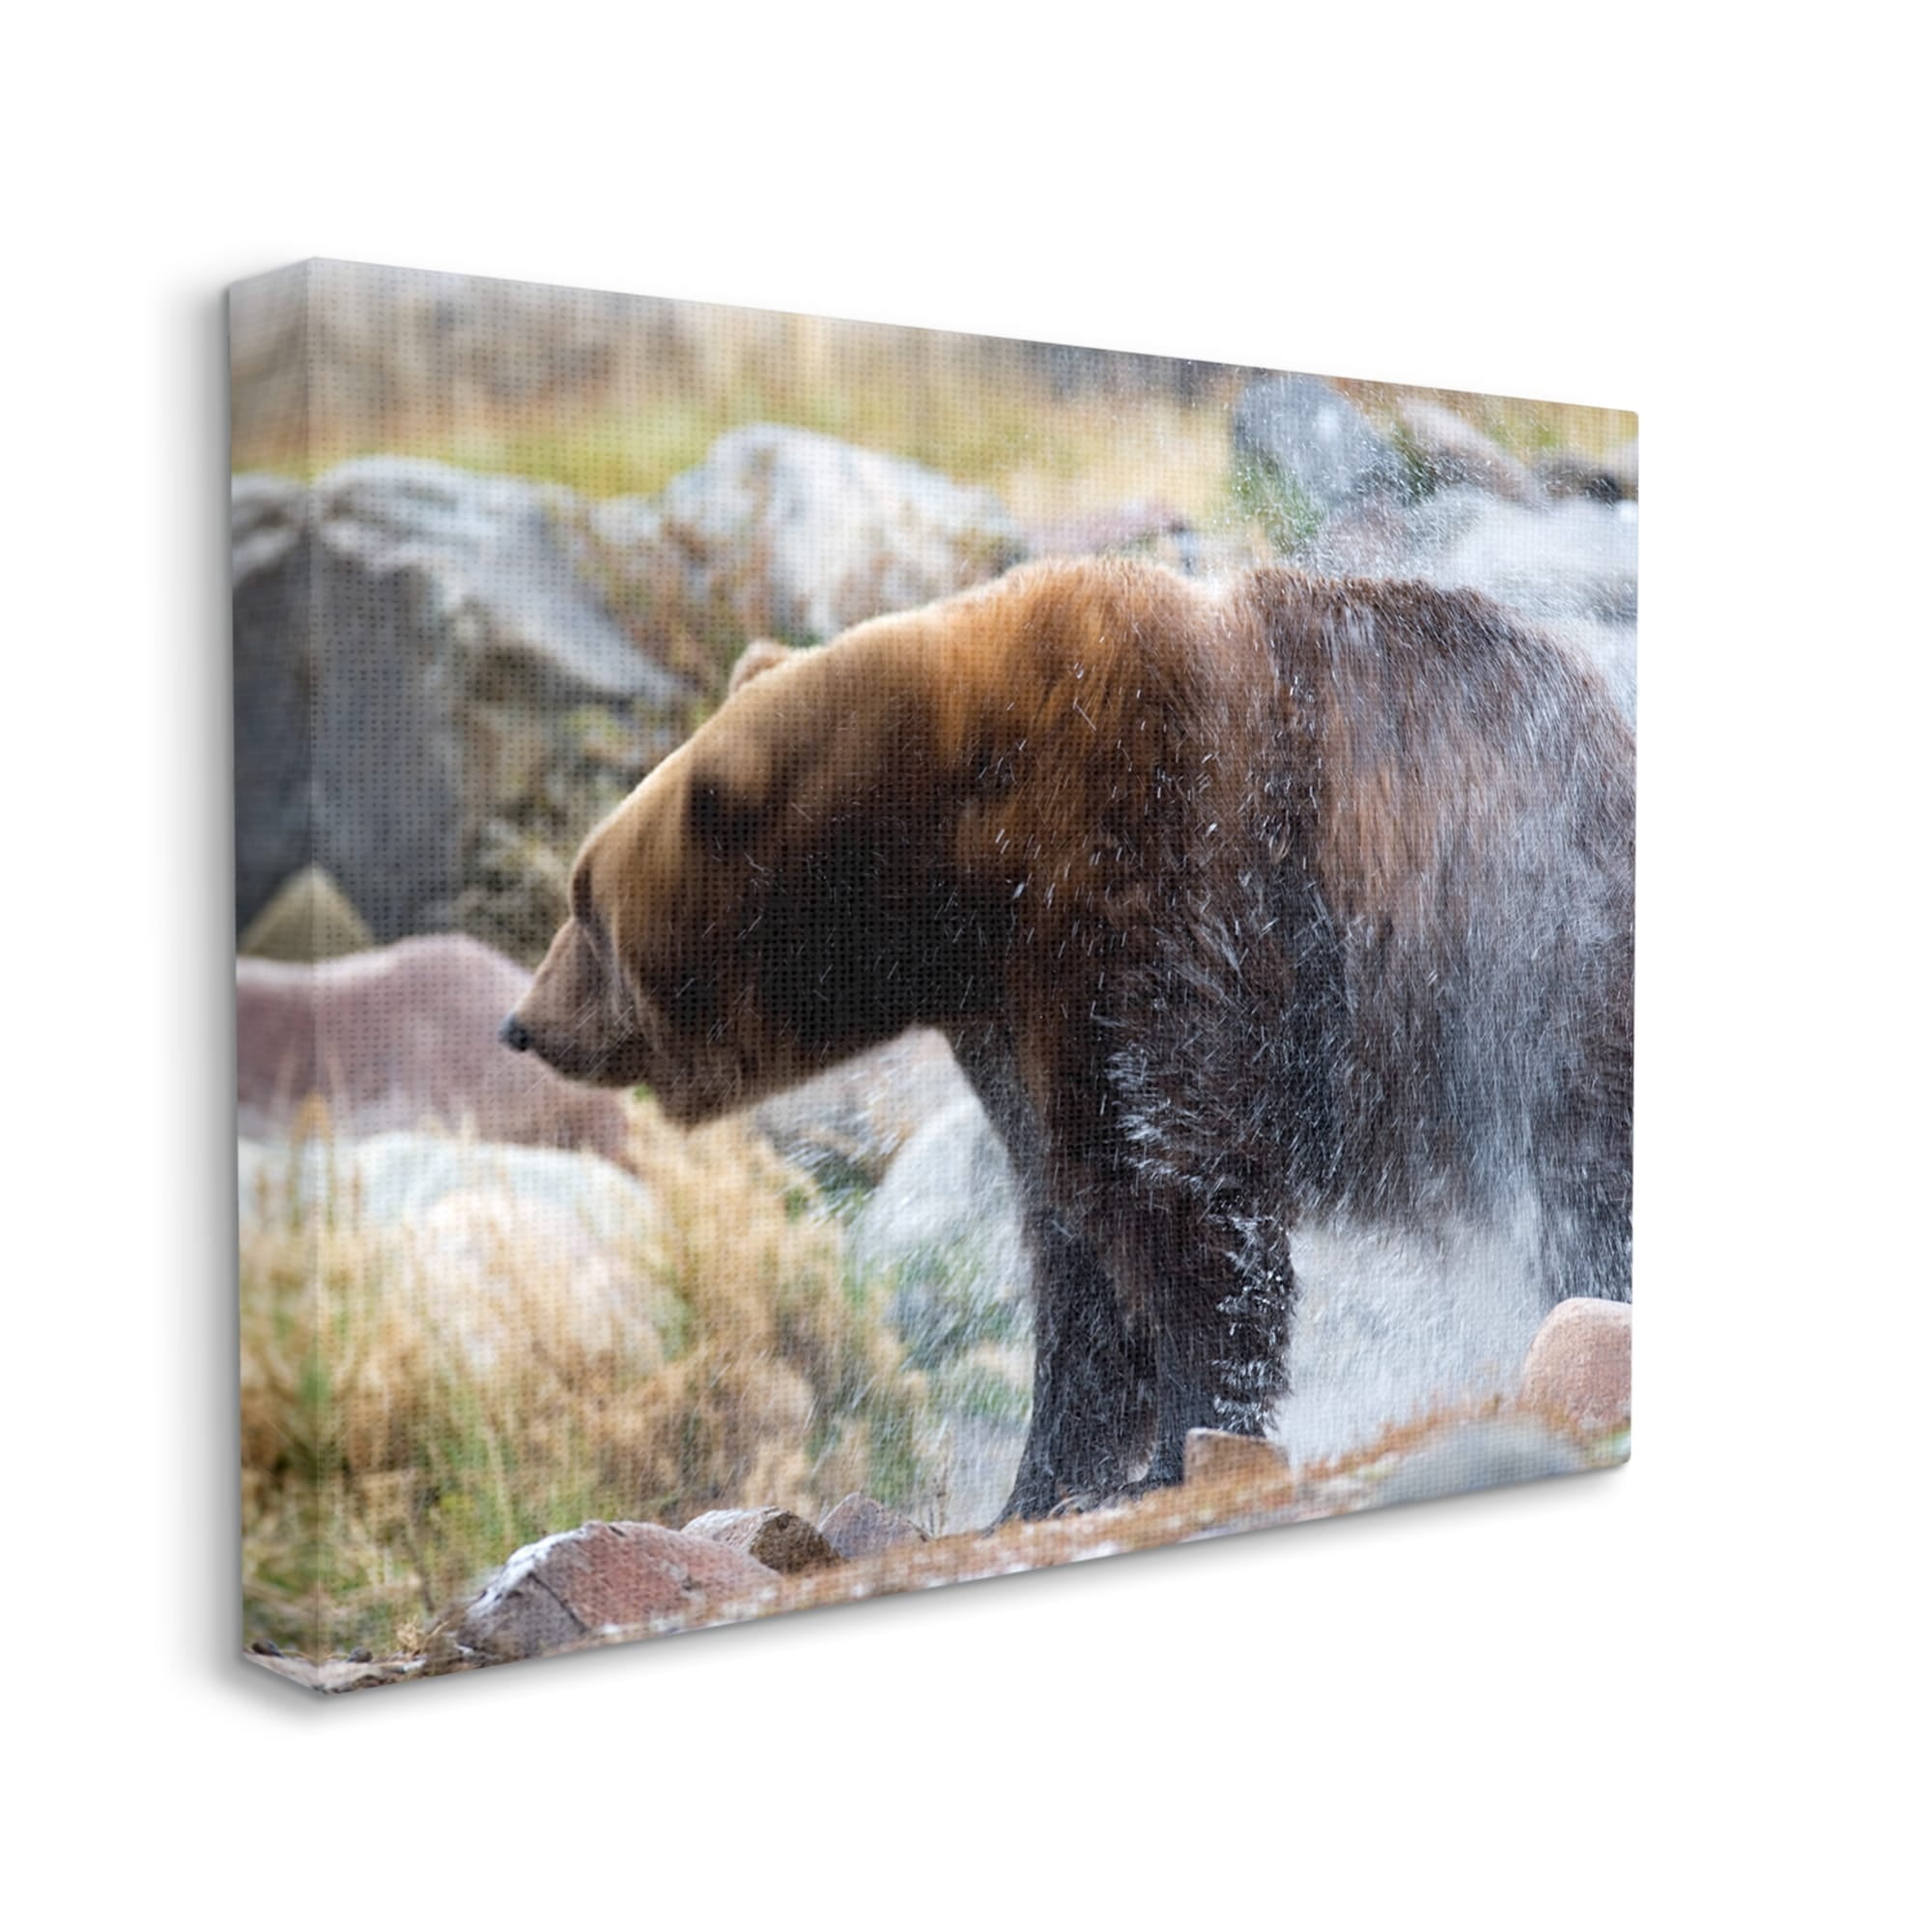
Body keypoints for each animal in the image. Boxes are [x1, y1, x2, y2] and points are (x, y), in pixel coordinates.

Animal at [501, 557, 1634, 1520]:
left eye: (585, 905)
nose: (520, 1022)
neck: (956, 863)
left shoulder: (1144, 864)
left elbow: (1168, 1190)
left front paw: (1179, 1448)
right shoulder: (1007, 1012)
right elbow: (1071, 1236)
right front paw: (1040, 1480)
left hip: (1545, 974)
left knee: (1587, 1191)